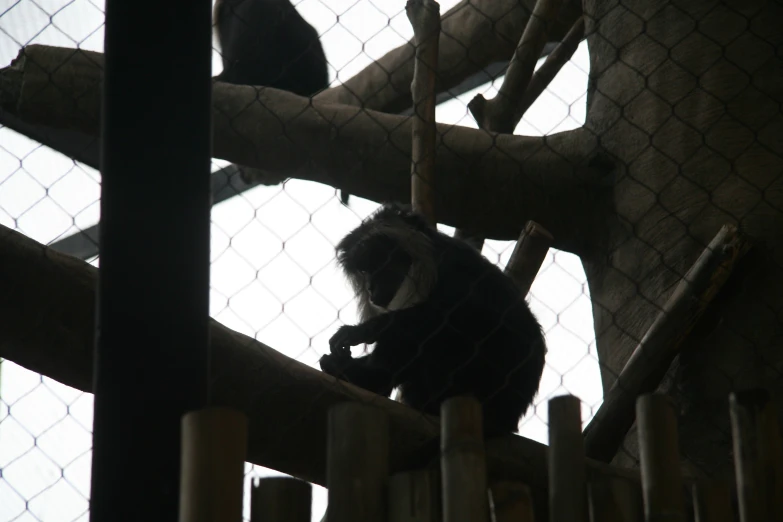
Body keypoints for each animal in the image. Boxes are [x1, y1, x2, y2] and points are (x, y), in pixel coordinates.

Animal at [318, 201, 544, 432]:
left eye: (381, 264)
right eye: (364, 271)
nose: (371, 289)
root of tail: (508, 418)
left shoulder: (453, 267)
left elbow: (467, 314)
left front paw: (362, 331)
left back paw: (367, 377)